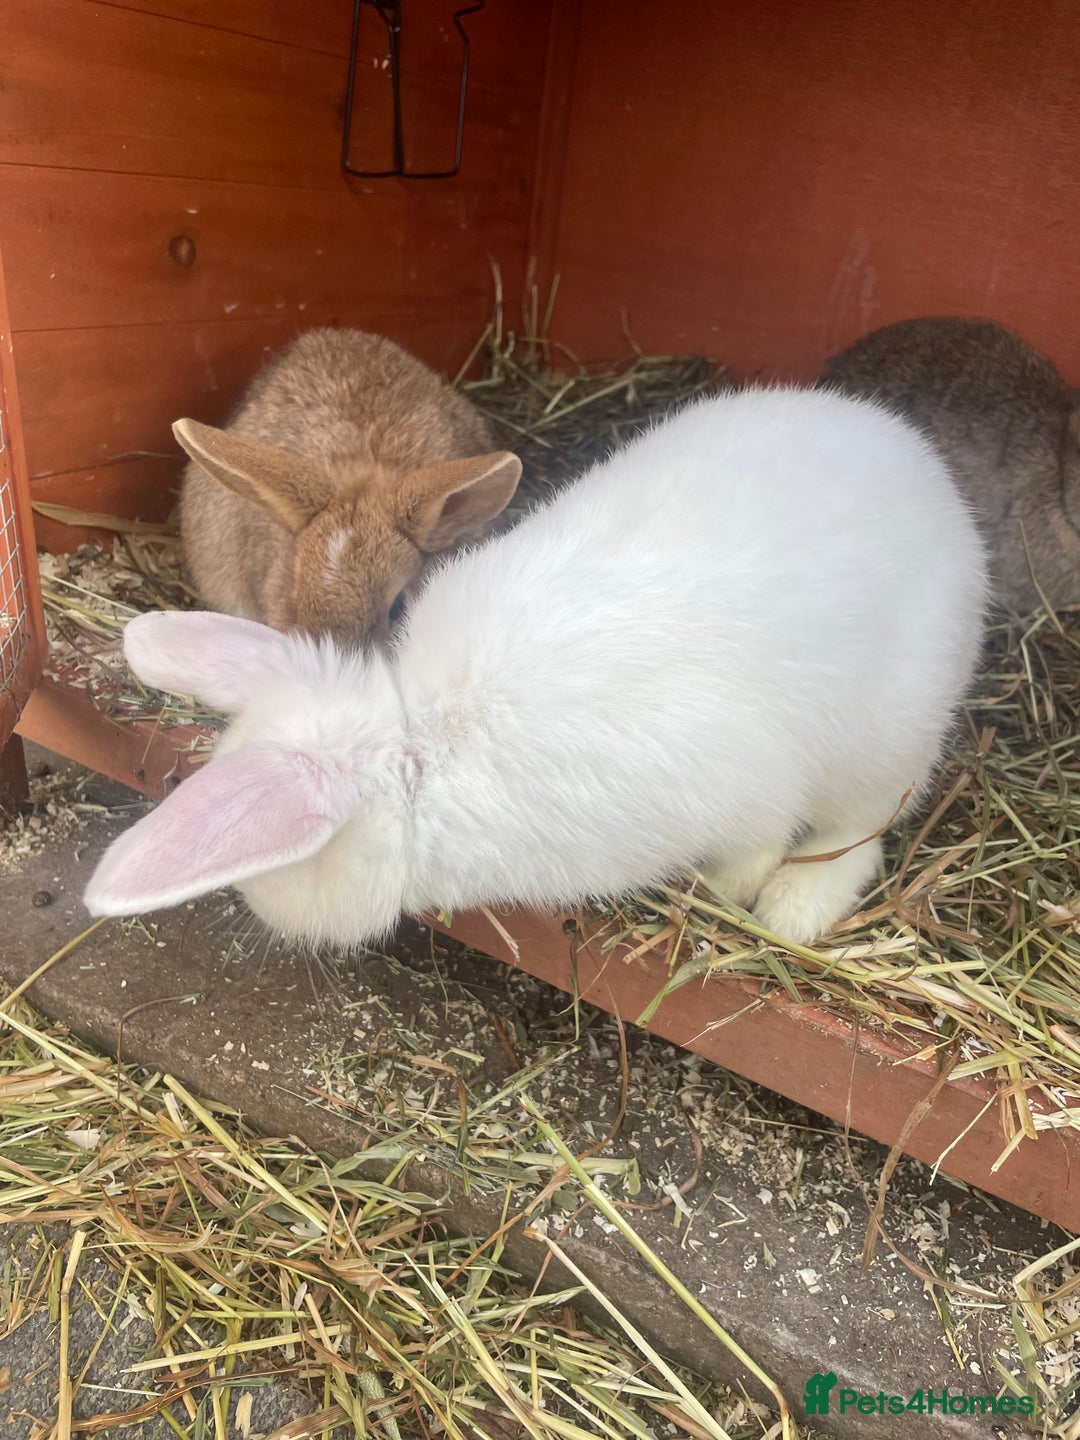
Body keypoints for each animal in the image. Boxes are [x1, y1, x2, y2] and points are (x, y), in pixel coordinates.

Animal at [85, 387, 987, 949]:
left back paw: (793, 909)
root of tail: (933, 483)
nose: (262, 914)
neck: (417, 745)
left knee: (860, 831)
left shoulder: (744, 784)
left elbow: (758, 839)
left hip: (889, 736)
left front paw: (733, 890)